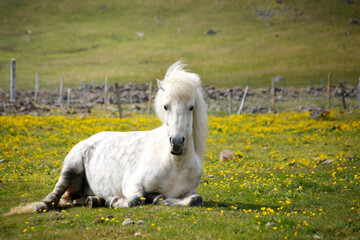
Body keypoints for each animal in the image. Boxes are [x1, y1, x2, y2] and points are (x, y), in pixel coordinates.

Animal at [5, 61, 207, 215]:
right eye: (166, 106)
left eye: (191, 107)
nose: (177, 143)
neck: (174, 165)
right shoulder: (132, 184)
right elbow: (135, 199)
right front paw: (116, 200)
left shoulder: (191, 192)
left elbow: (195, 199)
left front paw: (157, 198)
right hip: (71, 166)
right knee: (56, 195)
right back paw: (45, 205)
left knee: (74, 199)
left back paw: (93, 200)